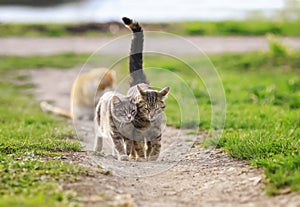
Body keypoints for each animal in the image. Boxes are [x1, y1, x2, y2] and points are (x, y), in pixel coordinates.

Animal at [121, 17, 169, 161]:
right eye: (147, 108)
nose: (152, 115)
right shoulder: (136, 132)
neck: (149, 123)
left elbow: (157, 144)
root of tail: (140, 81)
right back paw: (133, 155)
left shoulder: (157, 131)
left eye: (157, 108)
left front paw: (153, 156)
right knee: (132, 144)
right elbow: (138, 145)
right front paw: (141, 157)